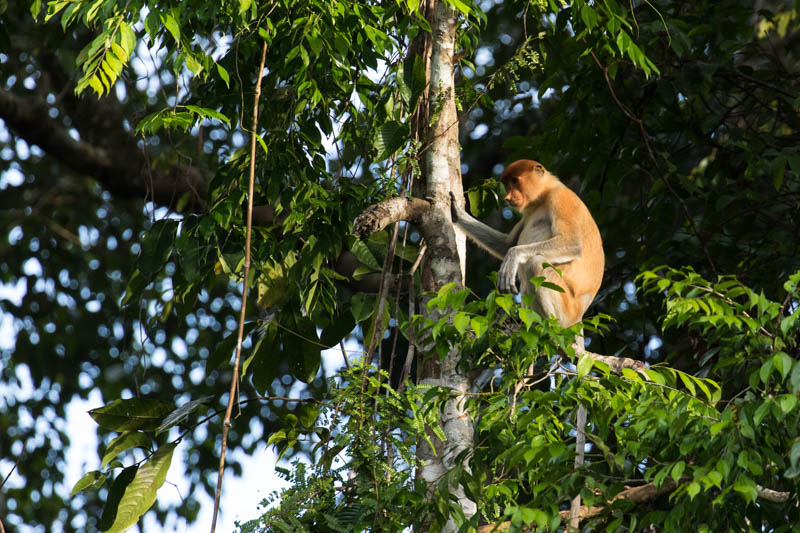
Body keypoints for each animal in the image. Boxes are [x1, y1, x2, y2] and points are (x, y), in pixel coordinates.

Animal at [454, 159, 604, 532]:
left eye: (515, 182)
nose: (509, 198)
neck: (544, 195)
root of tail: (579, 318)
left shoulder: (561, 201)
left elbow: (562, 245)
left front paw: (511, 259)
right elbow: (505, 239)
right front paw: (453, 209)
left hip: (565, 306)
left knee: (537, 263)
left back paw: (545, 330)